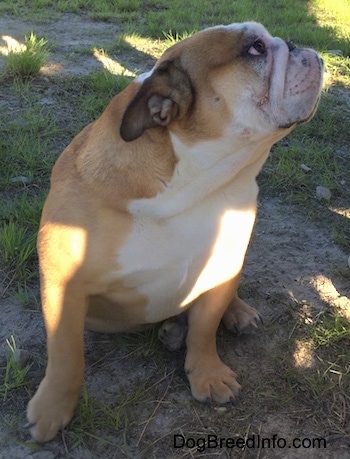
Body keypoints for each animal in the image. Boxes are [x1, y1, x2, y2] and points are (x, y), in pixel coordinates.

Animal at [26, 21, 324, 442]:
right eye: (255, 48)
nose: (301, 47)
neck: (195, 183)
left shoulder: (223, 268)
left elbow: (205, 328)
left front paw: (208, 374)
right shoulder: (63, 284)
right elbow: (66, 354)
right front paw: (53, 410)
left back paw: (234, 314)